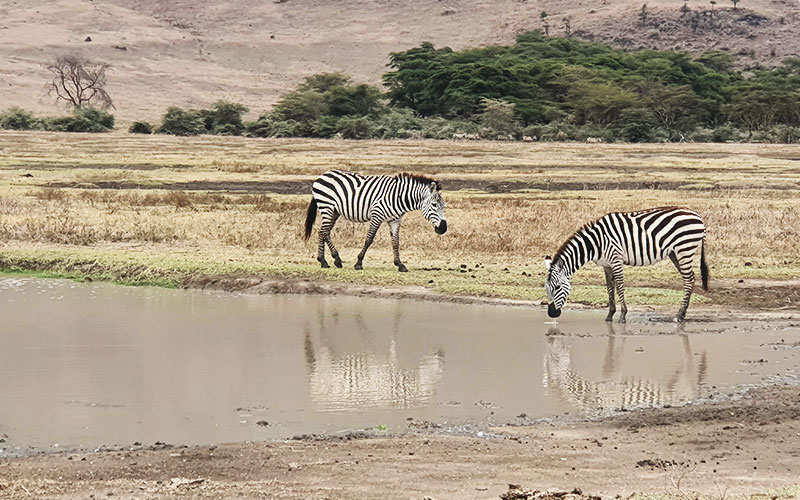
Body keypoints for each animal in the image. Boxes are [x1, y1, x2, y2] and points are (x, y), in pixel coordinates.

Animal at [304, 172, 446, 274]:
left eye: (444, 206)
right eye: (434, 205)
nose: (443, 229)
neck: (399, 197)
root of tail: (322, 175)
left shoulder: (395, 220)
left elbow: (395, 242)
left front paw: (400, 264)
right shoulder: (377, 215)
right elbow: (369, 239)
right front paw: (359, 263)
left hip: (334, 211)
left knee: (323, 232)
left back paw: (328, 260)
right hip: (327, 207)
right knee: (324, 232)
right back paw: (329, 260)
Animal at [544, 205, 708, 322]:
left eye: (557, 287)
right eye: (546, 288)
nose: (551, 314)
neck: (596, 243)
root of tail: (698, 216)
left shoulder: (616, 259)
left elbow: (620, 287)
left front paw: (623, 315)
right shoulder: (606, 265)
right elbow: (610, 288)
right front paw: (610, 315)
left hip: (684, 249)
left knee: (688, 279)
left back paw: (679, 315)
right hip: (675, 252)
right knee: (690, 278)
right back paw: (682, 314)